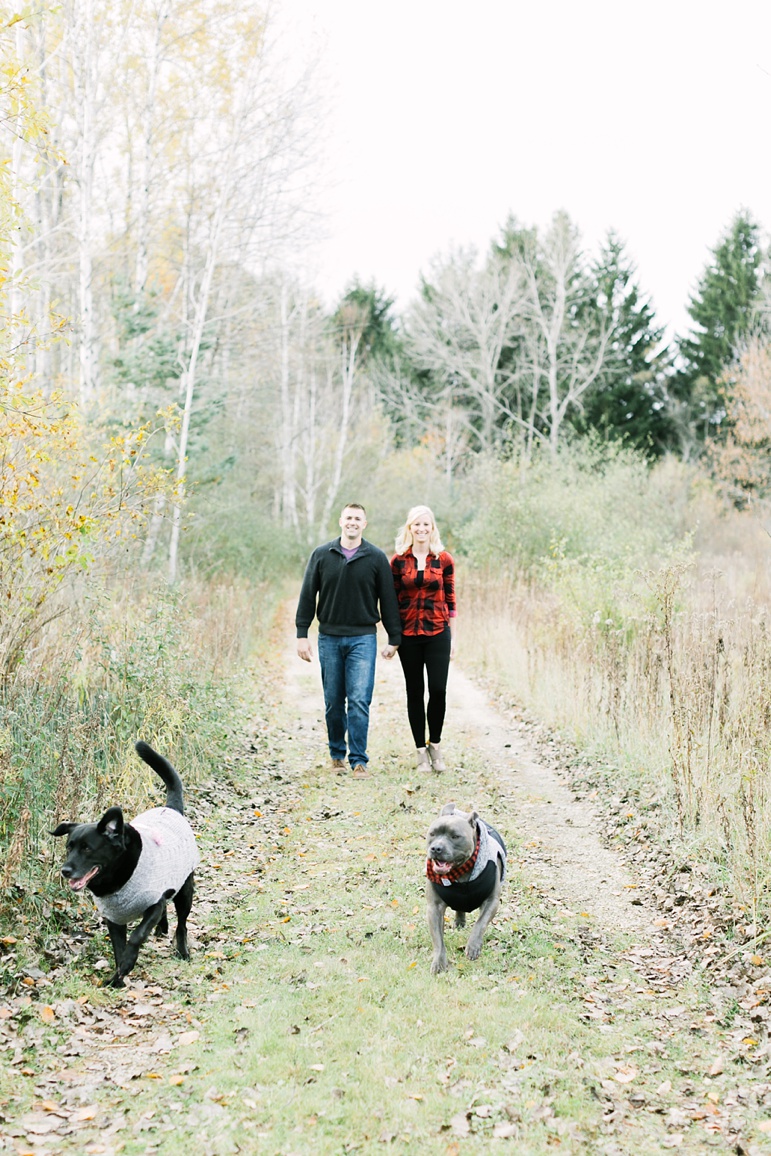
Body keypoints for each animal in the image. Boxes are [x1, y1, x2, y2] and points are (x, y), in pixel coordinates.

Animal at [51, 739, 201, 984]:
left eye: (87, 848)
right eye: (69, 847)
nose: (65, 870)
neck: (116, 880)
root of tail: (171, 809)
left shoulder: (152, 904)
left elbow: (137, 936)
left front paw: (127, 965)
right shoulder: (114, 919)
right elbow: (118, 949)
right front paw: (117, 979)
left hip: (185, 890)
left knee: (182, 923)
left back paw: (182, 951)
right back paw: (162, 929)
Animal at [423, 804, 506, 975]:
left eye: (455, 836)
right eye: (432, 833)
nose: (436, 848)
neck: (460, 872)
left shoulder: (492, 901)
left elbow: (480, 923)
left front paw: (473, 946)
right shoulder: (434, 908)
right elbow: (438, 939)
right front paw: (439, 962)